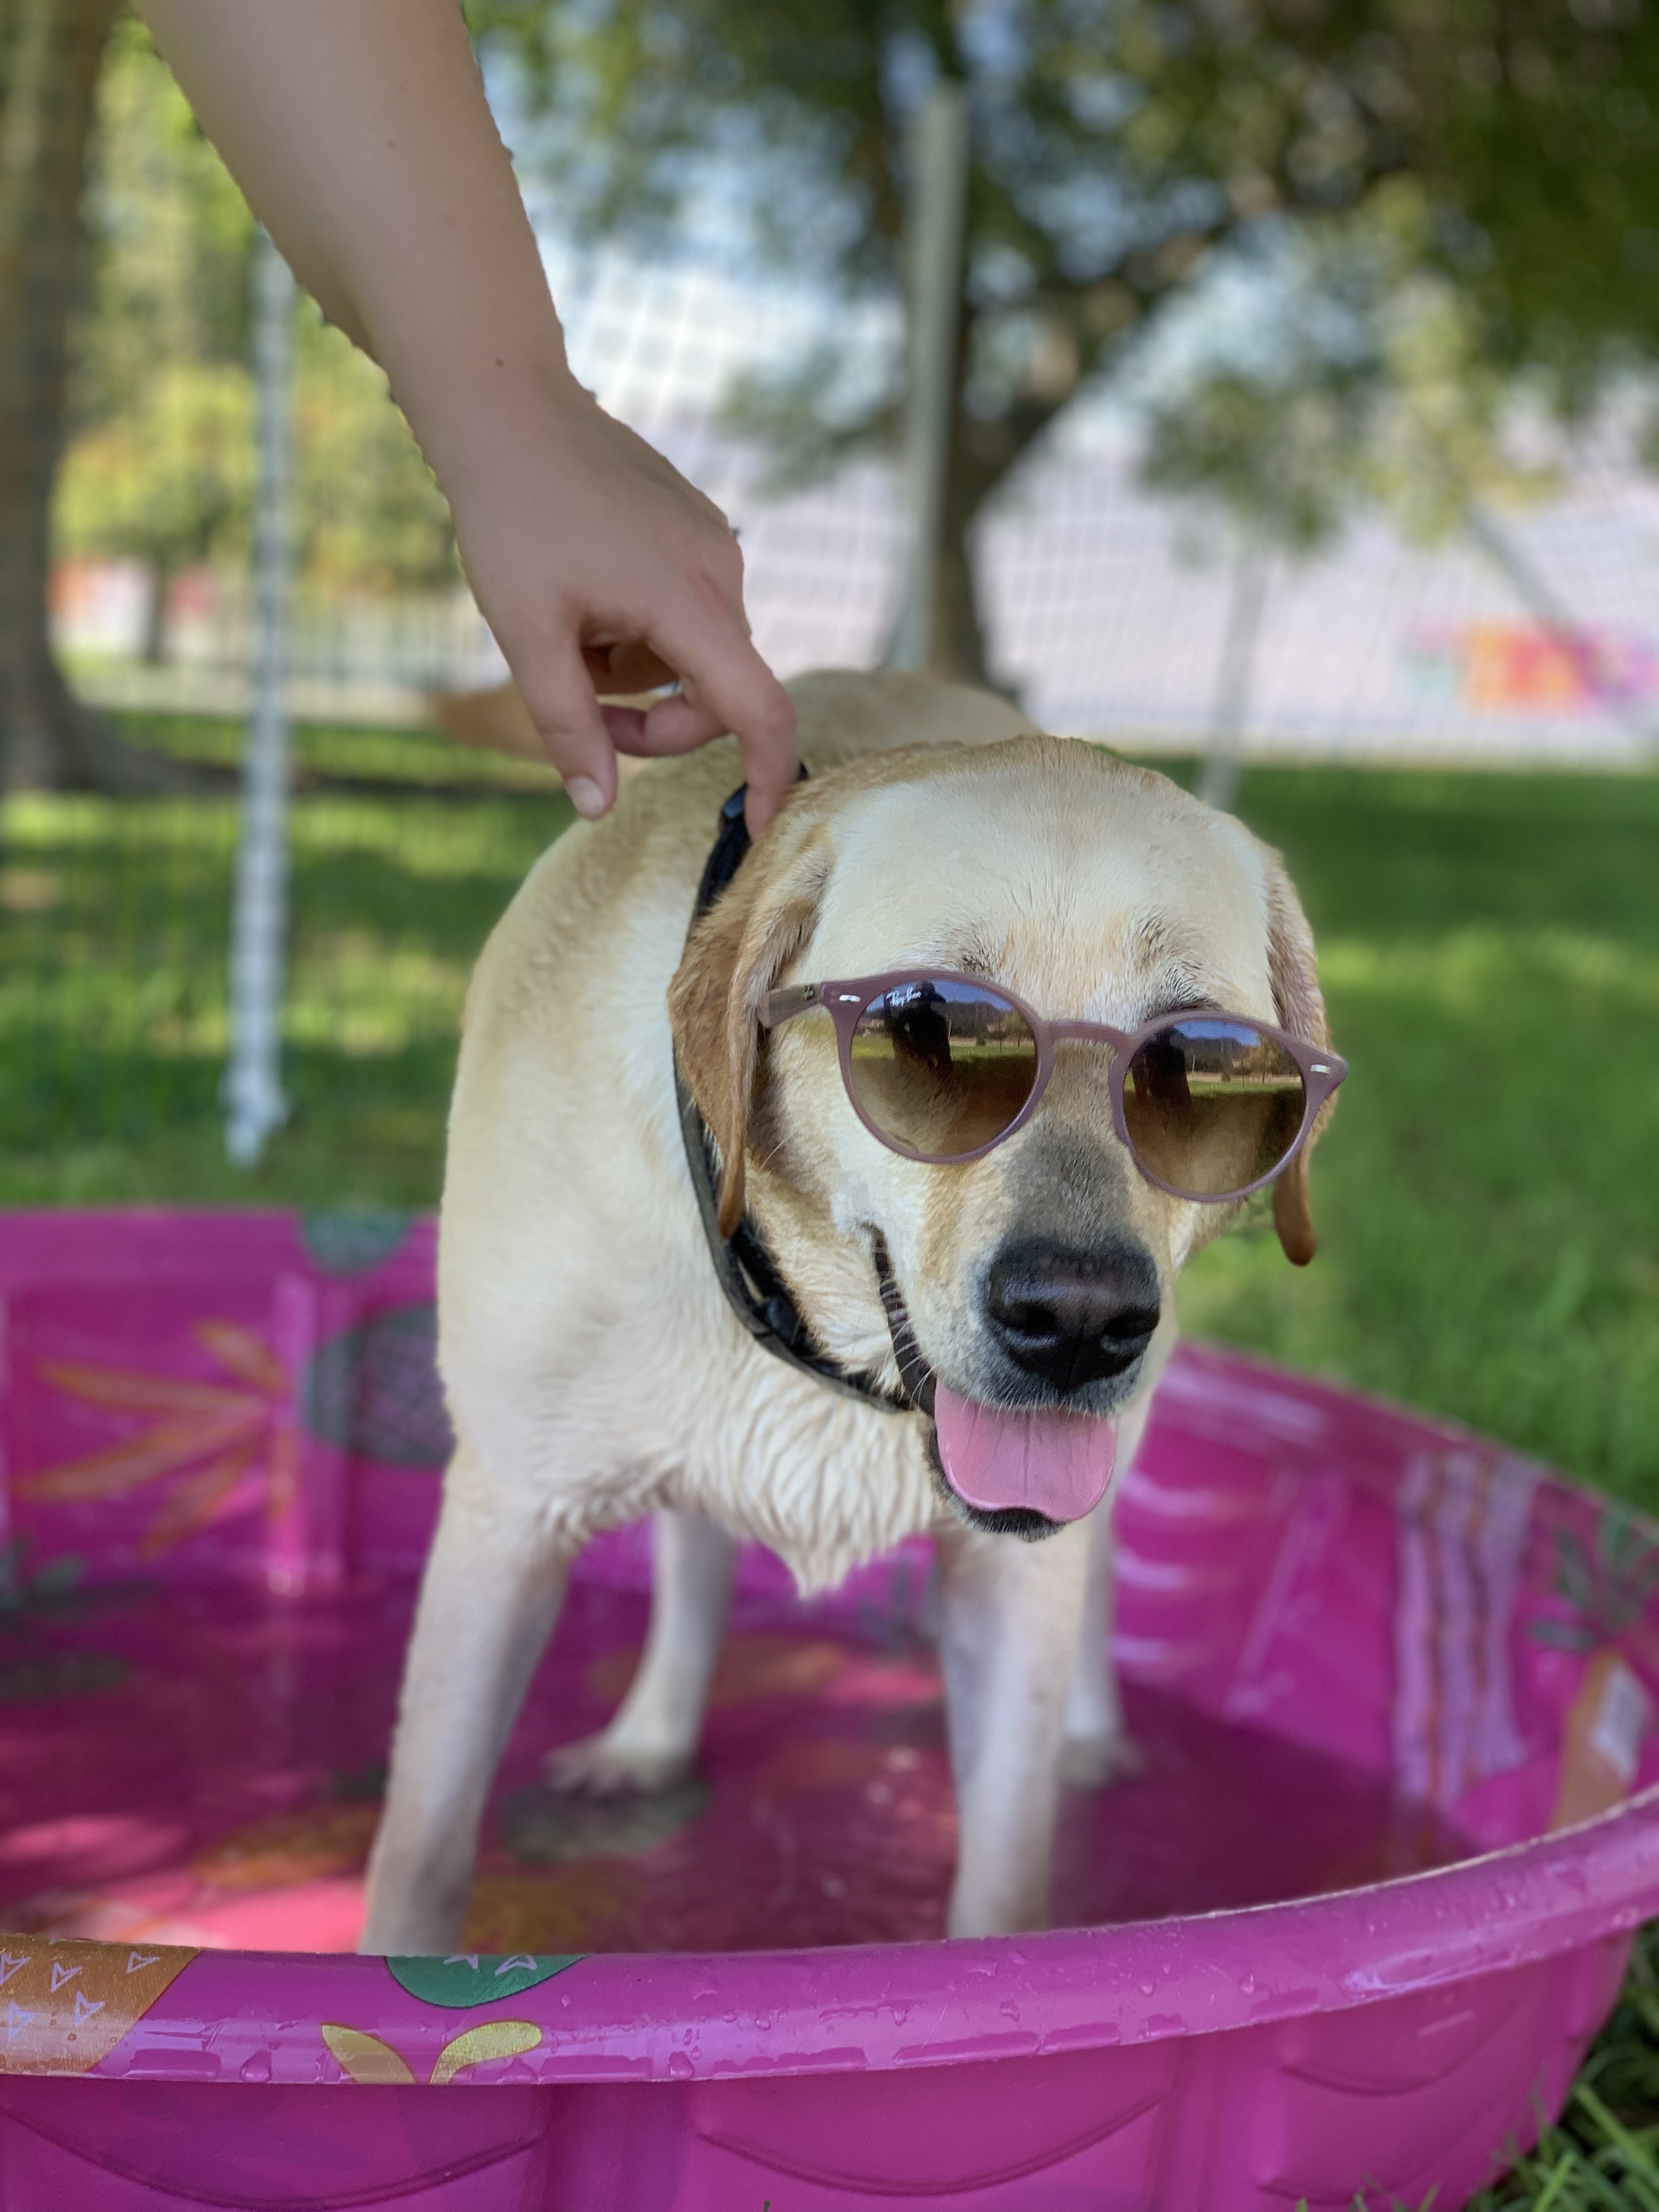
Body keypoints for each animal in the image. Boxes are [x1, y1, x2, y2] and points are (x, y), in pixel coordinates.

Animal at [360, 663, 1336, 1947]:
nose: (1080, 1320)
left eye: (1199, 1057)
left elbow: (1005, 1874)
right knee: (696, 1554)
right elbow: (420, 1853)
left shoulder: (1013, 1578)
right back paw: (648, 1741)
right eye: (928, 1026)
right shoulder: (505, 1515)